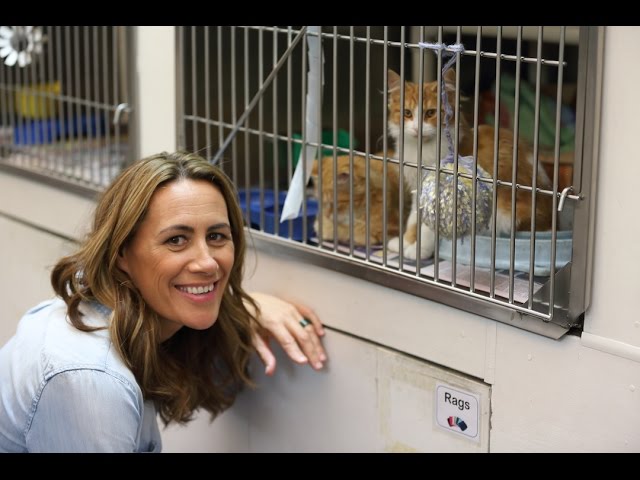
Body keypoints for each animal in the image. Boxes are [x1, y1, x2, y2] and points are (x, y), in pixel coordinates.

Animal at [382, 68, 552, 258]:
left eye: (431, 113)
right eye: (407, 113)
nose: (417, 129)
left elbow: (427, 226)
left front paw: (418, 251)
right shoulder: (418, 189)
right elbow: (413, 219)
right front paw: (404, 243)